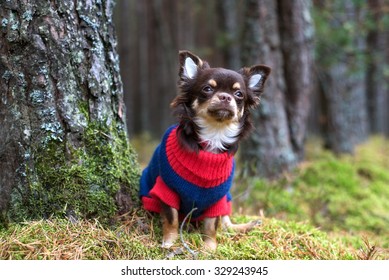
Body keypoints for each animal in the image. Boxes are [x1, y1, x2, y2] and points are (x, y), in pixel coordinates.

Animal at [139, 49, 270, 249]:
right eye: (207, 89)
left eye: (239, 94)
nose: (225, 97)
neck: (214, 134)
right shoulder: (166, 190)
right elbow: (171, 218)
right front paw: (170, 242)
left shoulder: (218, 199)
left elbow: (211, 224)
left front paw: (209, 247)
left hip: (227, 199)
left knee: (226, 222)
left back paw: (246, 226)